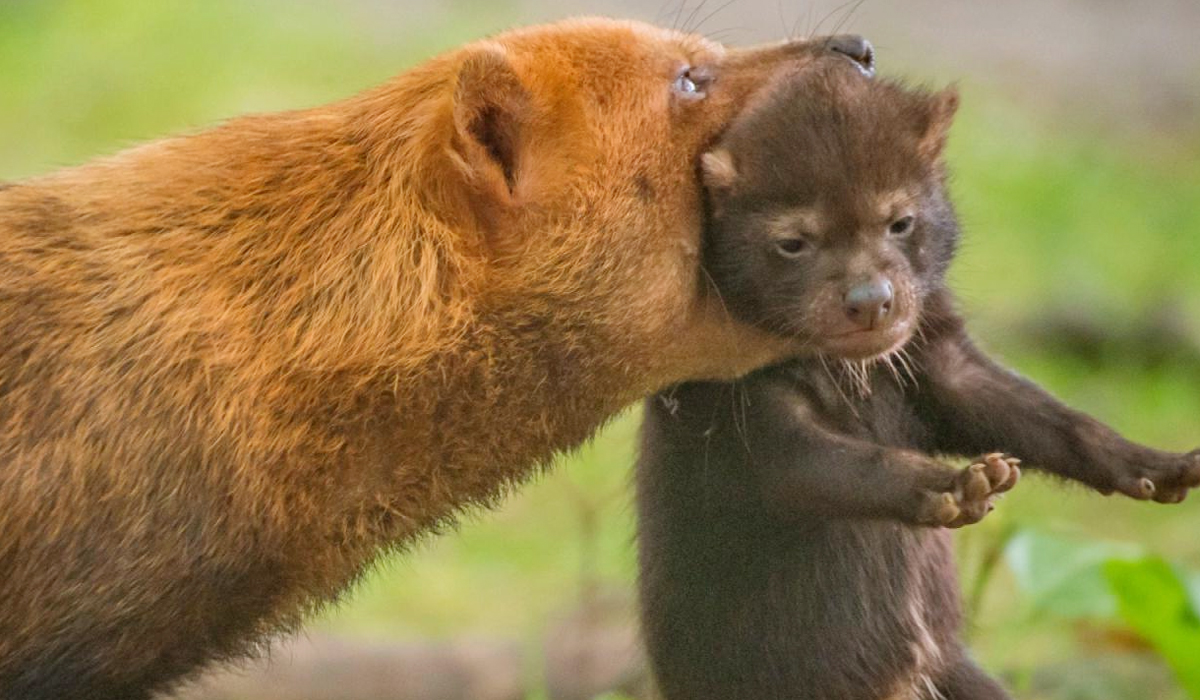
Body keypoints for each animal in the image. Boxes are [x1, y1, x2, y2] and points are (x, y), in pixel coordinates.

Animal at [638, 60, 1200, 700]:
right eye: (792, 242)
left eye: (900, 222)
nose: (870, 301)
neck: (851, 371)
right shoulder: (740, 418)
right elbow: (843, 462)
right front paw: (956, 487)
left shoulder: (943, 363)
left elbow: (1055, 422)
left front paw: (1161, 468)